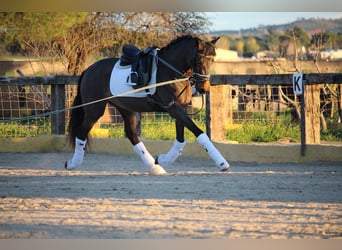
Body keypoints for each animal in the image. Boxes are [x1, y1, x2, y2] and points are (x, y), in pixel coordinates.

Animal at [65, 35, 230, 175]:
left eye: (212, 60)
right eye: (199, 60)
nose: (204, 88)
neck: (170, 71)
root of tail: (88, 70)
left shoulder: (180, 109)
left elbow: (180, 140)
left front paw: (163, 159)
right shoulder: (173, 108)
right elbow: (200, 134)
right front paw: (222, 163)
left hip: (126, 109)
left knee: (132, 135)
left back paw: (155, 167)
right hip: (94, 110)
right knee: (81, 133)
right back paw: (72, 164)